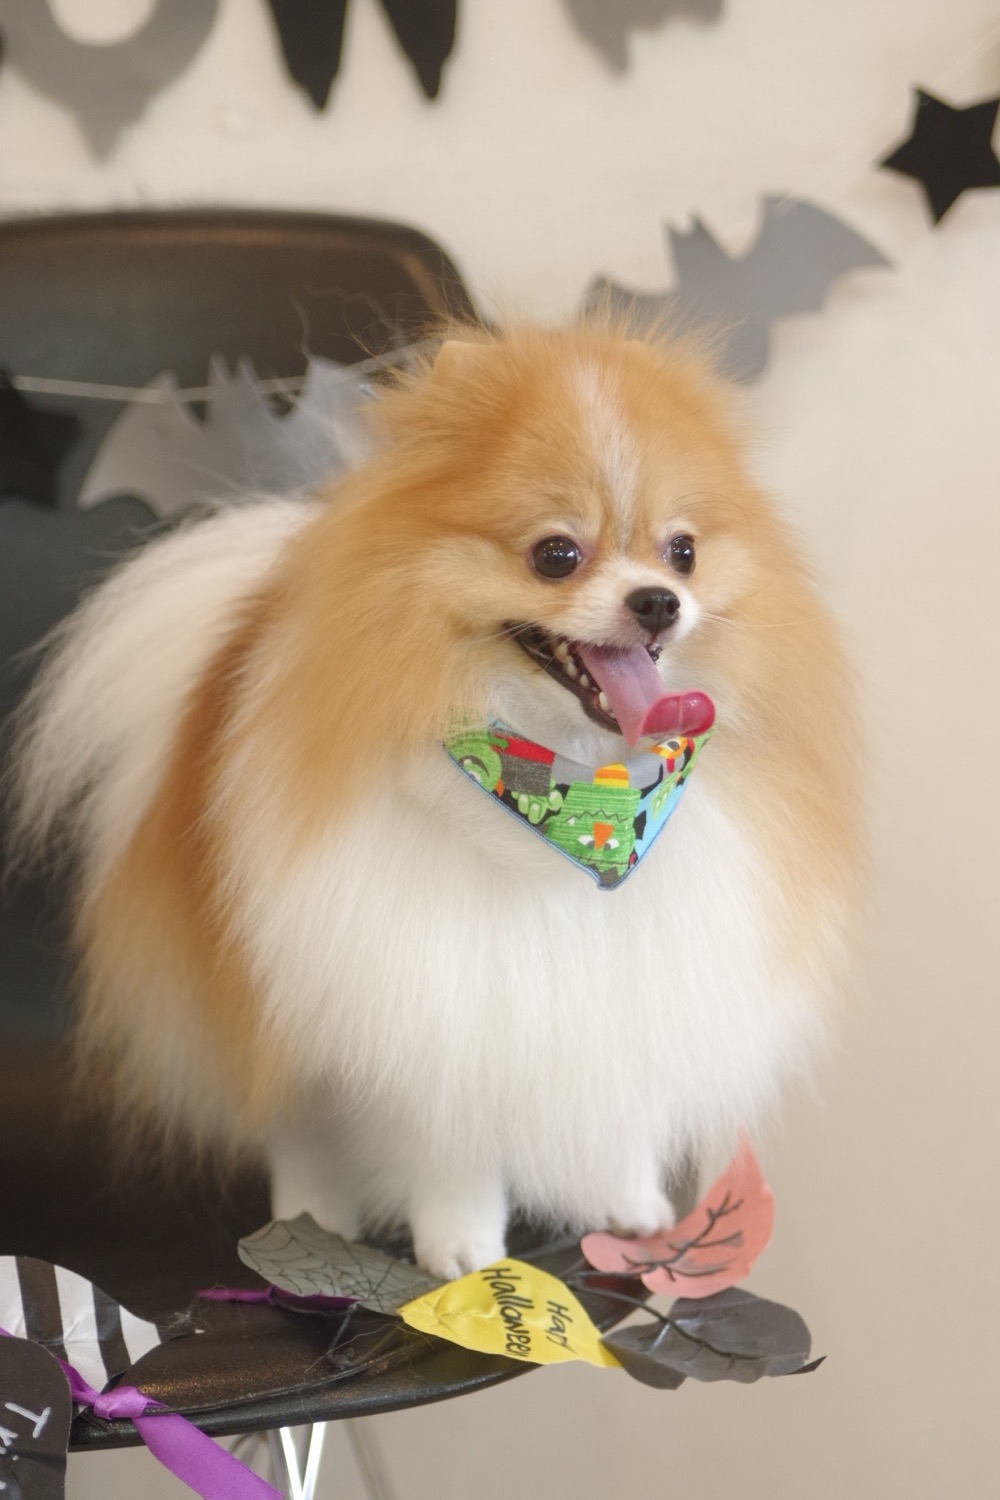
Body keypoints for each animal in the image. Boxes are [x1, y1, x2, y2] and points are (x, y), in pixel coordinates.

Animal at [6, 321, 858, 1279]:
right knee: (299, 1123)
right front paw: (463, 1246)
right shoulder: (428, 997)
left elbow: (617, 1104)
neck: (579, 800)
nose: (658, 601)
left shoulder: (632, 988)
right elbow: (448, 1141)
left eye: (684, 551)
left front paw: (629, 1203)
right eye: (555, 555)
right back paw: (313, 1205)